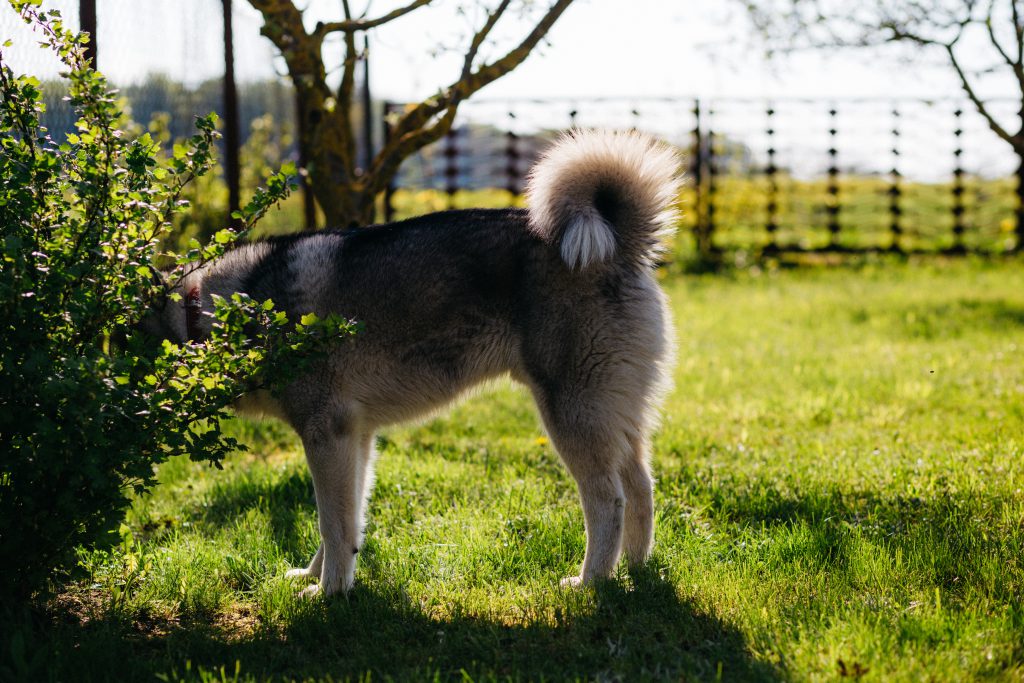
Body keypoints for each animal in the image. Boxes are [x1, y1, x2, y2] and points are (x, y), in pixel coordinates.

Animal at [146, 129, 679, 598]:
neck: (220, 308)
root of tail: (620, 244)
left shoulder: (327, 434)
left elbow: (332, 523)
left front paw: (327, 592)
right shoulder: (354, 438)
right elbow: (345, 522)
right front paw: (317, 575)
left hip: (571, 415)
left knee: (608, 501)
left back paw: (592, 581)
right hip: (615, 418)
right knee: (641, 488)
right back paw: (635, 569)